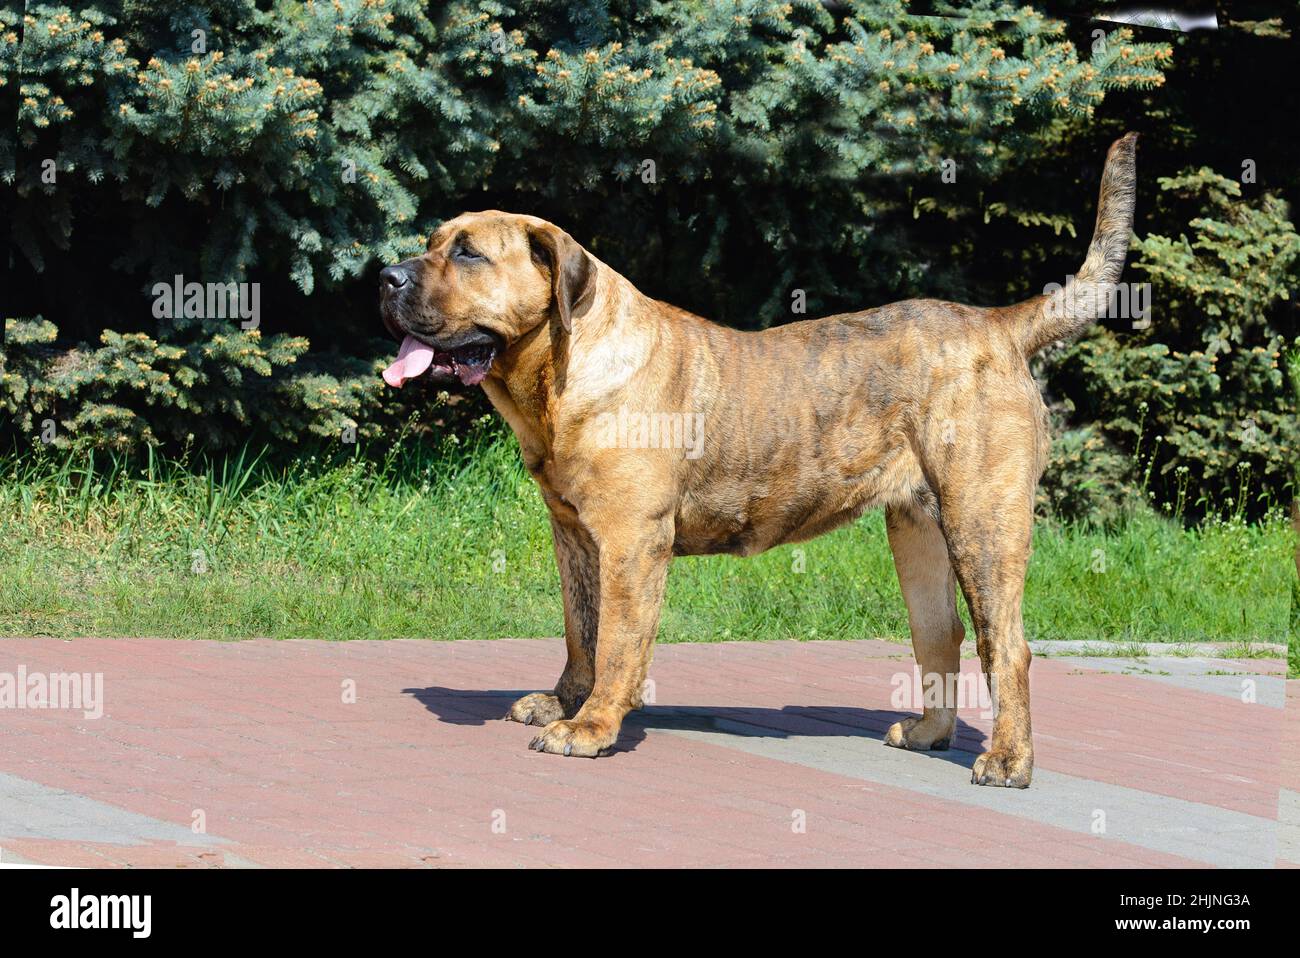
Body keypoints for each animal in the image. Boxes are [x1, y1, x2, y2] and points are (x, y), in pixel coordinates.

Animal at [379, 132, 1138, 785]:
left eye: (469, 254)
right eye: (431, 244)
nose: (384, 276)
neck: (558, 376)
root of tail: (996, 325)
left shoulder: (630, 541)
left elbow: (618, 640)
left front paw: (590, 727)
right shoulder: (573, 534)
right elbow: (580, 630)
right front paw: (564, 701)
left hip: (983, 521)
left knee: (1004, 644)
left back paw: (1008, 761)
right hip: (917, 528)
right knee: (939, 633)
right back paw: (927, 733)